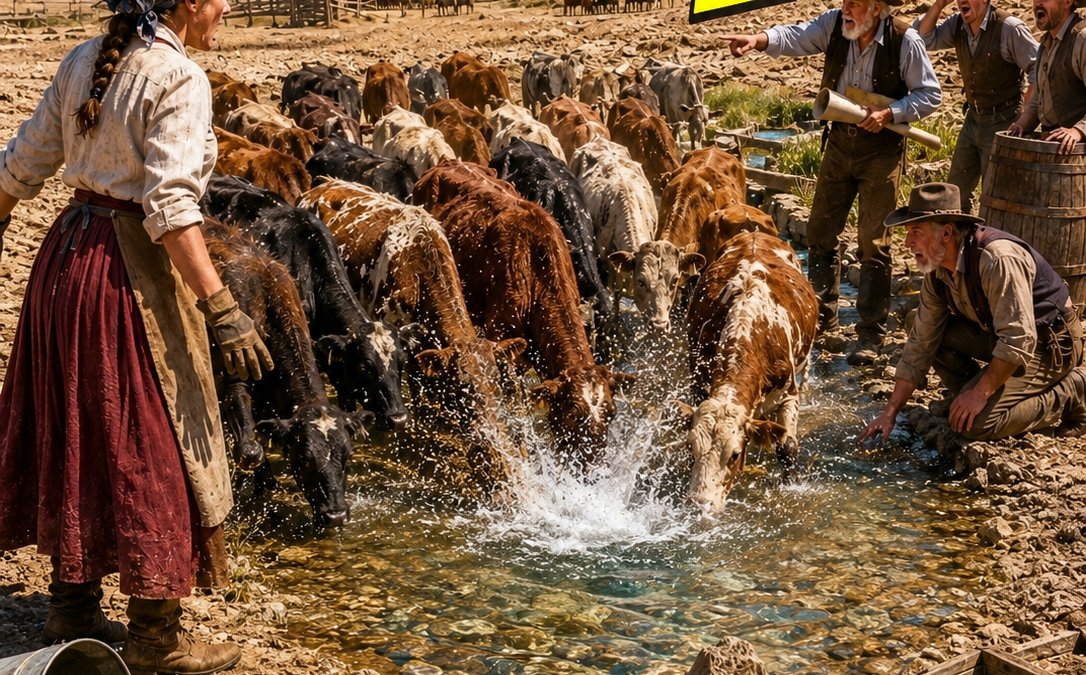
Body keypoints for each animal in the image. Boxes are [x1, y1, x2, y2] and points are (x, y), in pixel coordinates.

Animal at [413, 161, 635, 466]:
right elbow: (516, 412)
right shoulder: (505, 344)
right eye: (573, 413)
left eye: (611, 413)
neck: (535, 272)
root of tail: (448, 163)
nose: (591, 468)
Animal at [684, 231, 818, 515]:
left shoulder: (788, 395)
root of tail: (755, 232)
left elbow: (787, 447)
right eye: (691, 448)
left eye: (734, 455)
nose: (701, 504)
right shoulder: (698, 385)